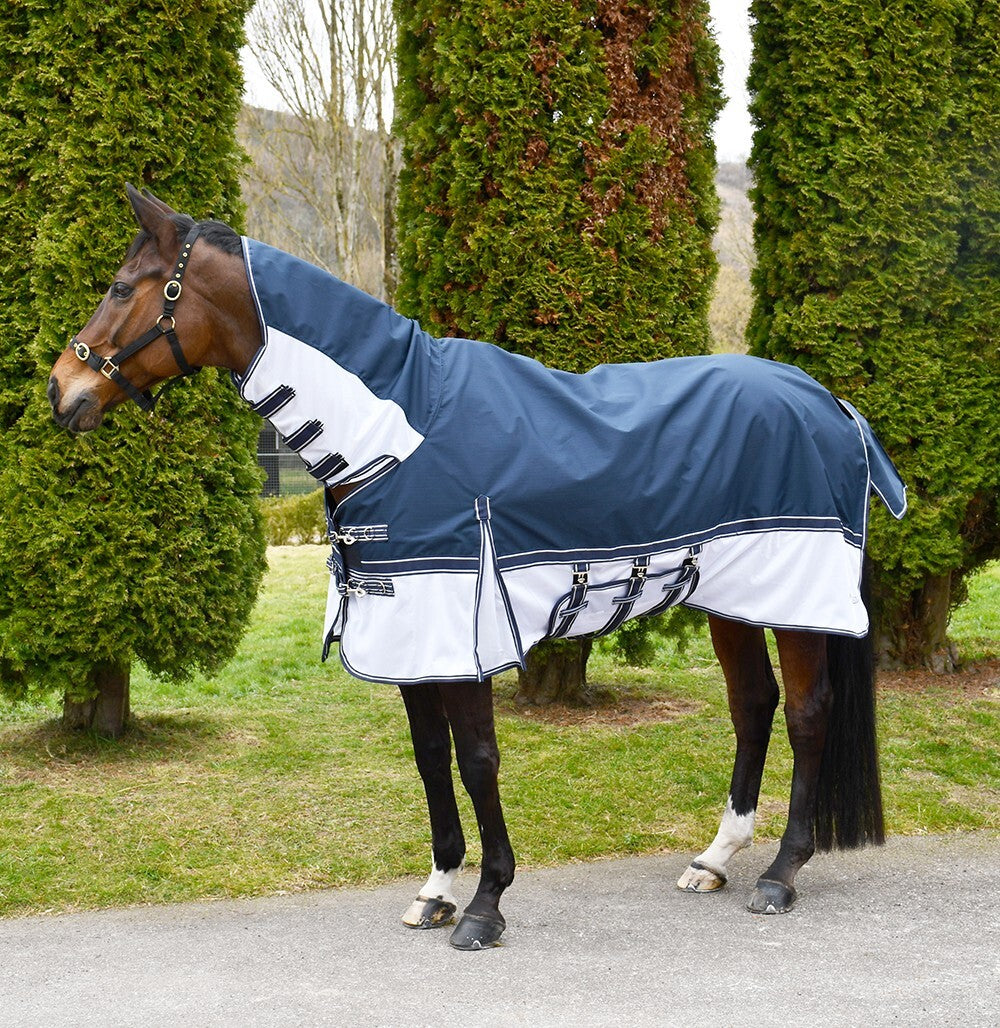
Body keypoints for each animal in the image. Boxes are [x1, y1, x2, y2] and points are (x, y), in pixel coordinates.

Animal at [48, 187, 906, 949]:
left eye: (123, 287)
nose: (63, 391)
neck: (398, 434)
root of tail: (830, 405)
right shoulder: (406, 636)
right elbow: (432, 761)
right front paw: (435, 892)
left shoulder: (459, 631)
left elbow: (479, 762)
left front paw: (487, 906)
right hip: (732, 599)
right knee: (753, 706)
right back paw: (715, 858)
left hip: (798, 604)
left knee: (807, 714)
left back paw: (782, 874)